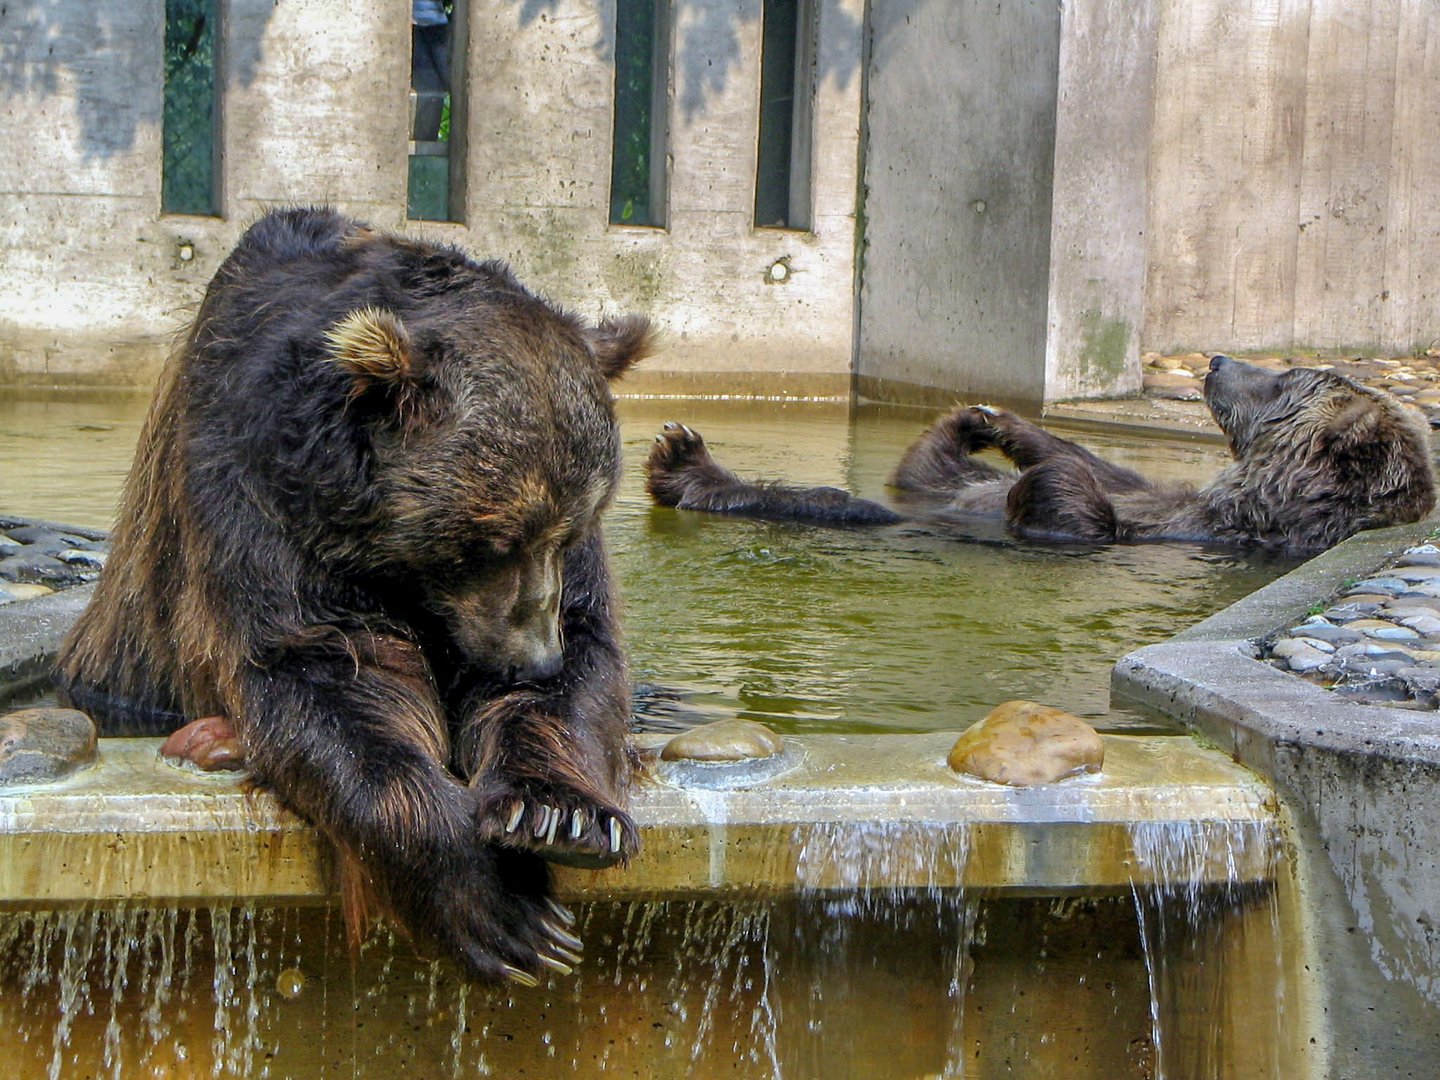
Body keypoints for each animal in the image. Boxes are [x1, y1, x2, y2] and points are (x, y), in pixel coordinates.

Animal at [648, 360, 1434, 558]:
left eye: (1285, 378)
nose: (1216, 361)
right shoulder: (1179, 497)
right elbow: (1119, 473)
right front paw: (1002, 420)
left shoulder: (1208, 529)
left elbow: (1075, 511)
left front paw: (1047, 477)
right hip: (930, 484)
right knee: (926, 468)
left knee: (851, 505)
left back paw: (685, 465)